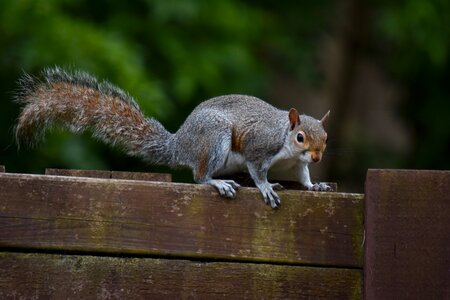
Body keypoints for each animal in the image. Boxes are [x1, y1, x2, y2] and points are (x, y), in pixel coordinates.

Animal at [14, 67, 330, 209]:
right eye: (300, 137)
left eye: (326, 138)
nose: (317, 157)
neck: (287, 148)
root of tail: (179, 144)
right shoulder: (259, 147)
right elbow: (258, 170)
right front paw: (265, 187)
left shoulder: (298, 165)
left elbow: (303, 177)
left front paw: (316, 185)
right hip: (214, 138)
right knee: (199, 176)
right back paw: (217, 182)